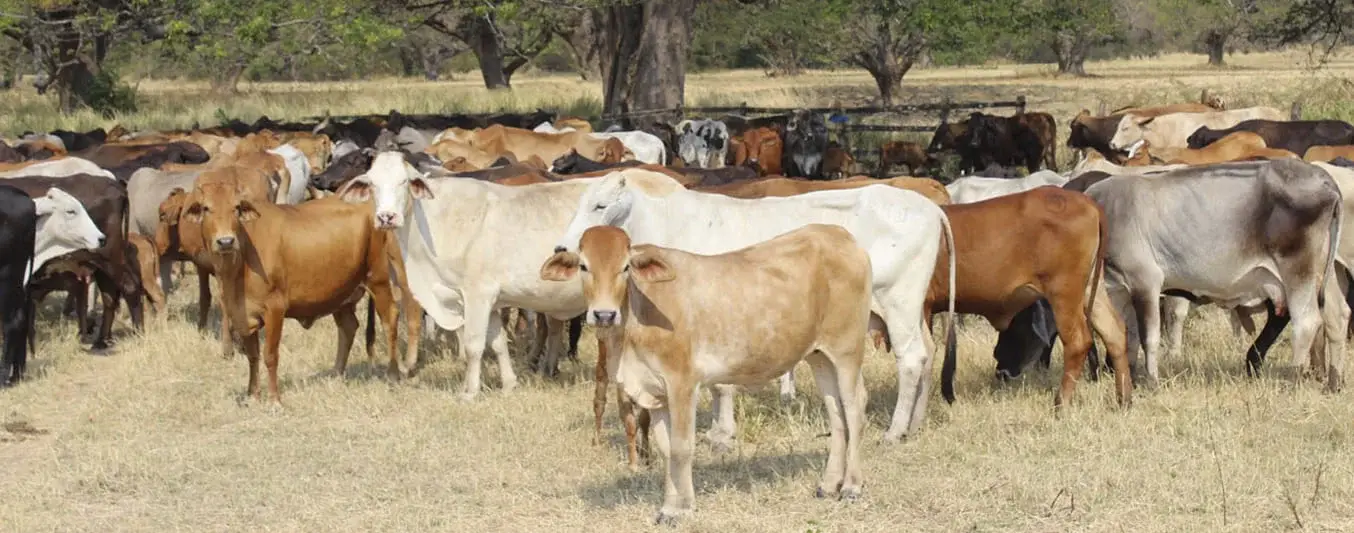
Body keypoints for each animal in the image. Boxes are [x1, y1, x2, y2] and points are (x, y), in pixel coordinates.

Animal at [182, 182, 408, 400]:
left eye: (236, 208)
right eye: (206, 208)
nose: (226, 241)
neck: (237, 266)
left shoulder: (274, 309)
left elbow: (270, 355)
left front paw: (274, 399)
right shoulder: (242, 314)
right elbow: (252, 355)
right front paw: (252, 394)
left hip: (379, 280)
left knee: (389, 320)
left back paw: (392, 375)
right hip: (342, 291)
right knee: (348, 326)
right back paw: (336, 373)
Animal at [547, 168, 953, 443]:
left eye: (600, 205)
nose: (562, 247)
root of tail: (928, 207)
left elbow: (720, 384)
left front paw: (721, 433)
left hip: (898, 302)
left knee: (911, 358)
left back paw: (895, 430)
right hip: (907, 309)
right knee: (929, 352)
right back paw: (915, 424)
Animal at [1083, 158, 1348, 386]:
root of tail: (1325, 179)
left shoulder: (1145, 282)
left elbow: (1149, 337)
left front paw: (1151, 382)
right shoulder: (1119, 290)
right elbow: (1129, 337)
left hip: (1297, 270)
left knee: (1307, 321)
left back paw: (1293, 379)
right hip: (1324, 272)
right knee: (1338, 315)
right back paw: (1334, 381)